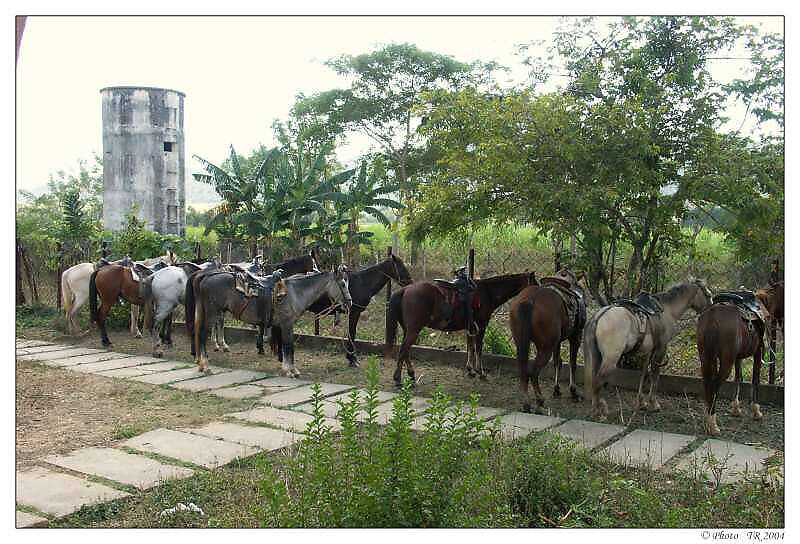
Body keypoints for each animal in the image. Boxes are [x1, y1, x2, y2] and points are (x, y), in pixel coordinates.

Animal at [386, 270, 536, 382]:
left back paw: (411, 374)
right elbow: (478, 348)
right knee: (403, 350)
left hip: (408, 329)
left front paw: (470, 370)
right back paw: (398, 378)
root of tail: (405, 290)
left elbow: (470, 347)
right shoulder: (481, 325)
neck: (487, 292)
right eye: (535, 282)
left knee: (405, 350)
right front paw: (480, 372)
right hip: (414, 329)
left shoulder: (470, 327)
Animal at [510, 268, 584, 412]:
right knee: (533, 373)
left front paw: (557, 390)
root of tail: (529, 300)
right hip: (545, 348)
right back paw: (539, 400)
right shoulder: (576, 337)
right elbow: (572, 364)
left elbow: (557, 362)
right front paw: (573, 392)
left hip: (521, 343)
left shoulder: (557, 342)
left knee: (524, 371)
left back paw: (527, 403)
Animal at [696, 296, 772, 436]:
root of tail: (712, 317)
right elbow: (755, 380)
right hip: (726, 362)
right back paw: (713, 424)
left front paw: (736, 409)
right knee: (715, 386)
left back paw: (708, 419)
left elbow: (738, 378)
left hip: (707, 359)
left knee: (708, 385)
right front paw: (756, 411)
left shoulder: (738, 358)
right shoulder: (758, 353)